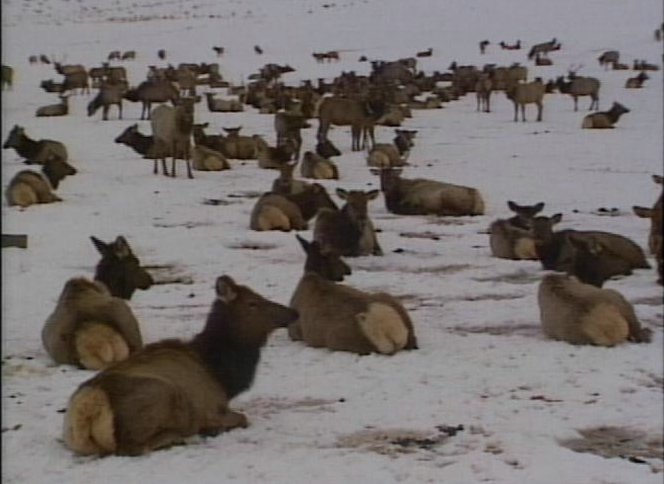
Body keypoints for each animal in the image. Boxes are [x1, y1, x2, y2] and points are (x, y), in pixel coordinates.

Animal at [63, 274, 298, 456]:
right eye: (253, 303)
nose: (293, 312)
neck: (222, 376)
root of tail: (90, 402)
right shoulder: (212, 407)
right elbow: (243, 418)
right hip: (160, 395)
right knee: (133, 447)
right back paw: (181, 436)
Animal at [290, 235, 418, 356]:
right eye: (335, 256)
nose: (348, 270)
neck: (312, 274)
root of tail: (394, 335)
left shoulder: (294, 330)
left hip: (340, 341)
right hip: (390, 300)